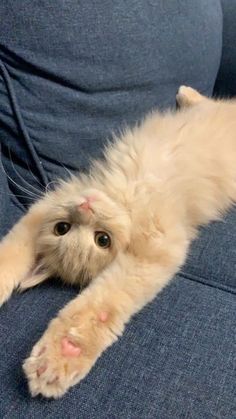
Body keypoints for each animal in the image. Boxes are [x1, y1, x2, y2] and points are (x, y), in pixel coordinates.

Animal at [0, 86, 236, 398]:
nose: (86, 205)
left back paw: (186, 93)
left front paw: (62, 353)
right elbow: (10, 257)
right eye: (63, 228)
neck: (120, 195)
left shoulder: (152, 253)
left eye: (102, 239)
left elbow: (97, 305)